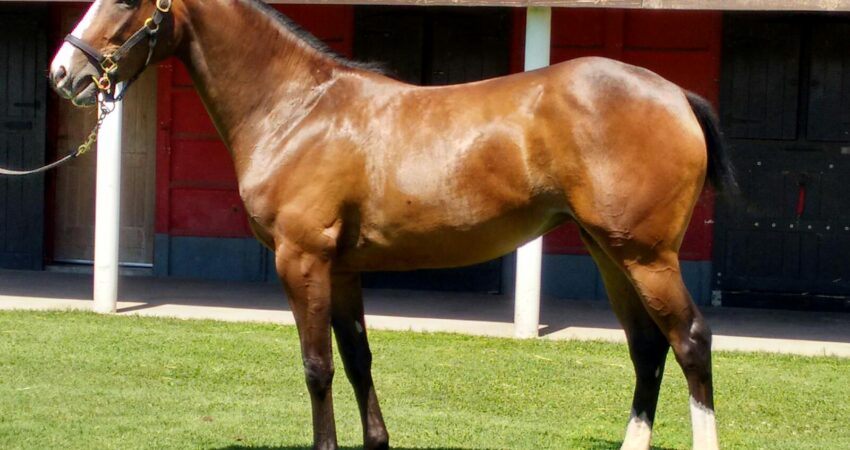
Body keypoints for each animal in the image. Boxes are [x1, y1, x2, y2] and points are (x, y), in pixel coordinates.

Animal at [49, 1, 736, 449]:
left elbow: (318, 366)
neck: (298, 109)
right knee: (647, 349)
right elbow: (358, 360)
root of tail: (674, 94)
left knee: (690, 341)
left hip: (646, 256)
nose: (64, 73)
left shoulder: (302, 261)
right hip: (609, 252)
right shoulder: (343, 270)